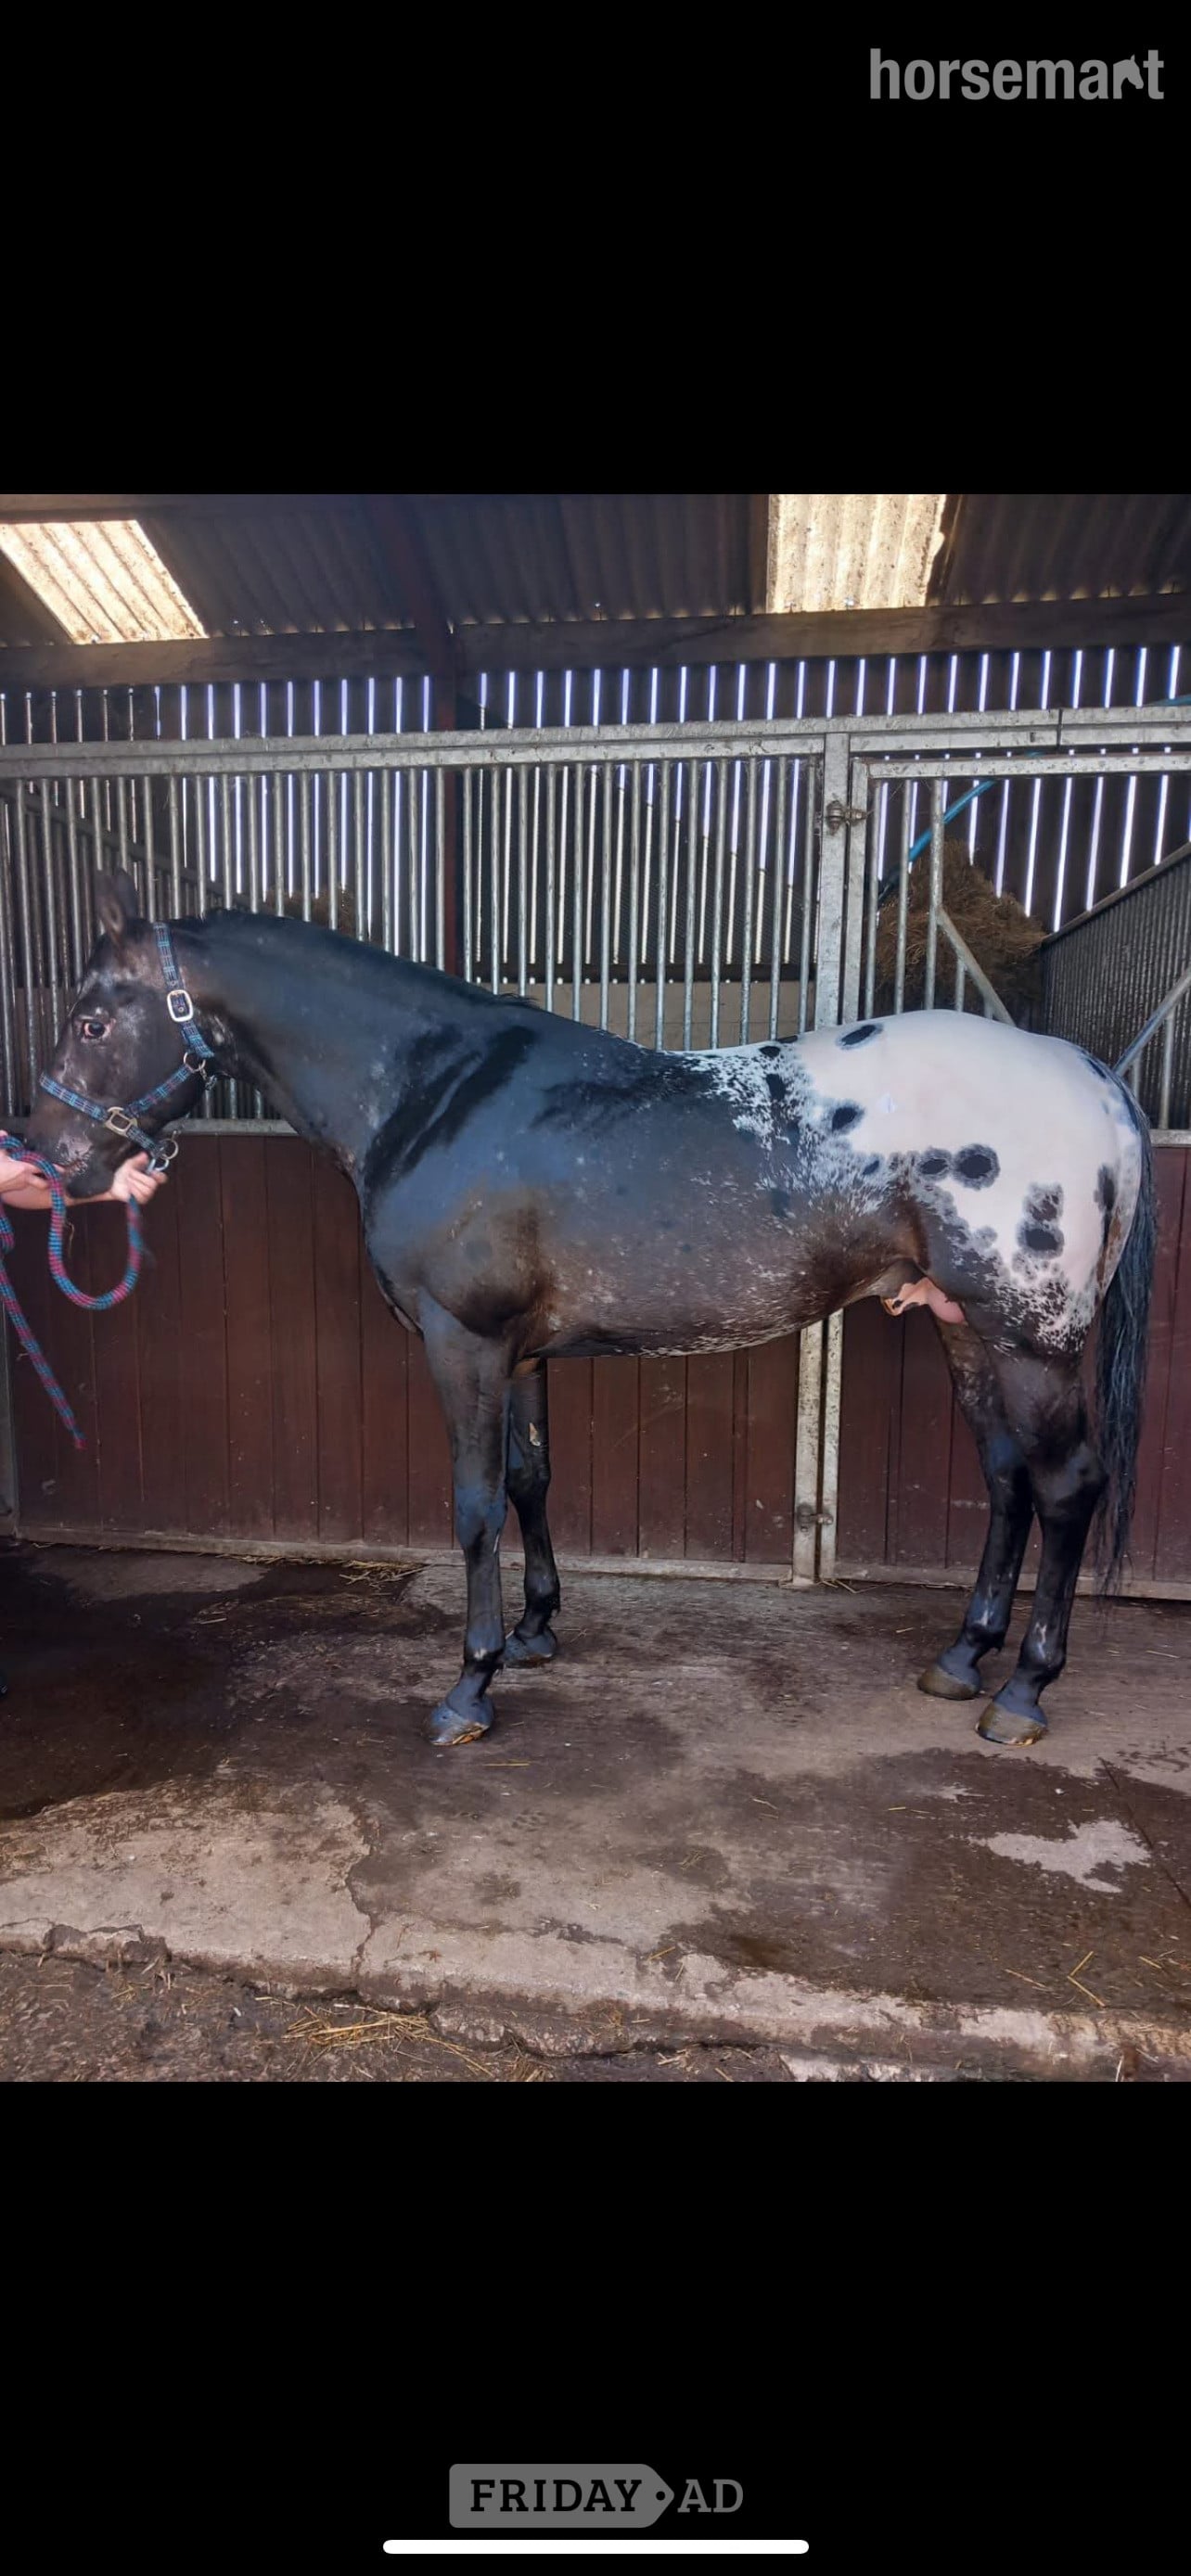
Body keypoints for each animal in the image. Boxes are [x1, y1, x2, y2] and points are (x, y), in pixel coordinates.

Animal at [26, 869, 1155, 1753]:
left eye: (91, 1019)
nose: (45, 1158)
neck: (436, 1093)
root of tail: (1090, 1078)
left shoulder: (466, 1343)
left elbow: (476, 1507)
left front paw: (469, 1686)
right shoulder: (522, 1354)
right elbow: (532, 1481)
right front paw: (534, 1634)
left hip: (1031, 1339)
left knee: (1066, 1488)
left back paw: (1023, 1692)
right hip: (964, 1327)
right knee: (1007, 1480)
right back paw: (963, 1657)